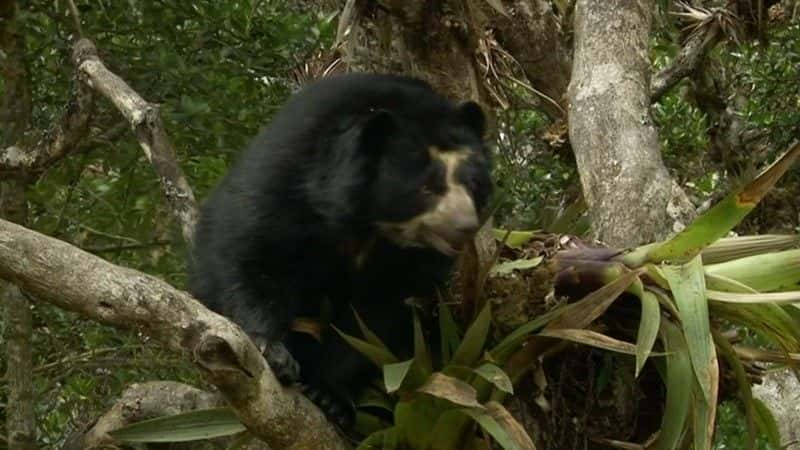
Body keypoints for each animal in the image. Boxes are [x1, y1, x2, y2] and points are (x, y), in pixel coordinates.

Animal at [190, 74, 494, 428]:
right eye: (427, 188)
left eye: (474, 184)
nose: (465, 225)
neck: (370, 224)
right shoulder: (287, 178)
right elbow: (252, 255)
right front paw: (272, 351)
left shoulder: (411, 264)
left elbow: (375, 319)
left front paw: (329, 396)